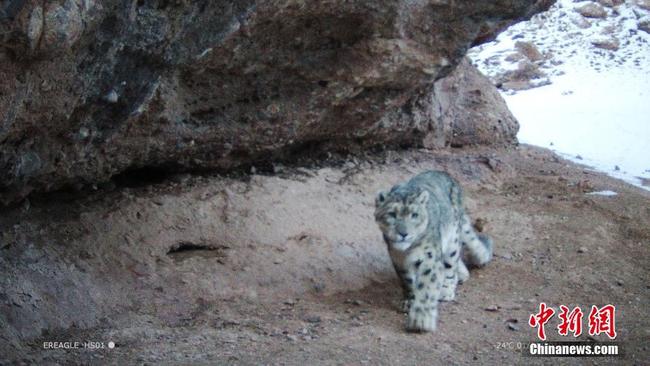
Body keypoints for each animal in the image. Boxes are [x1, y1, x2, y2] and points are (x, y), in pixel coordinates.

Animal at [374, 170, 492, 334]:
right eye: (392, 214)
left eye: (415, 215)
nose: (403, 233)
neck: (407, 252)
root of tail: (445, 174)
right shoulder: (398, 260)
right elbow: (407, 281)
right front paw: (409, 301)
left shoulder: (429, 257)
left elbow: (426, 287)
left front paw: (421, 321)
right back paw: (462, 275)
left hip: (452, 241)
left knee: (450, 264)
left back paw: (447, 289)